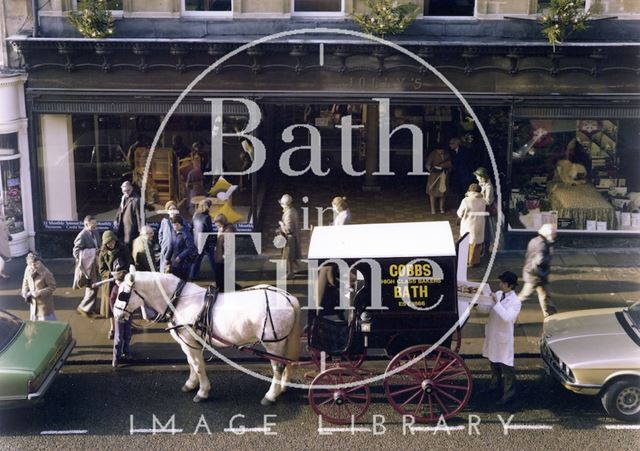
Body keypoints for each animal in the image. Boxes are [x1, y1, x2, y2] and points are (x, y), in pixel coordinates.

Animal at [113, 268, 302, 406]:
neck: (180, 301)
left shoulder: (189, 341)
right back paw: (281, 388)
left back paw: (270, 395)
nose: (115, 314)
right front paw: (191, 384)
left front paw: (202, 391)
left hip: (273, 343)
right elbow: (191, 362)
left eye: (123, 294)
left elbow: (197, 365)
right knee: (285, 364)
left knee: (278, 367)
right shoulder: (189, 342)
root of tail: (289, 297)